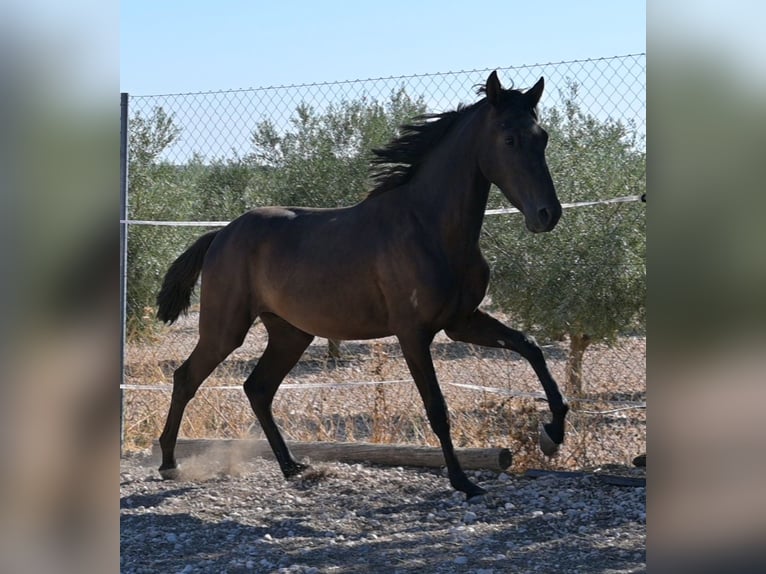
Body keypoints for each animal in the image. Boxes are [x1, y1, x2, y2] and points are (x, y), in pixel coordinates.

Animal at [158, 71, 568, 500]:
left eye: (542, 136)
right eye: (509, 139)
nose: (547, 214)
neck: (430, 228)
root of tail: (221, 233)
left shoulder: (462, 322)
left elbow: (531, 347)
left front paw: (552, 435)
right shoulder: (413, 333)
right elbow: (436, 407)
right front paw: (463, 482)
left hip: (290, 333)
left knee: (258, 388)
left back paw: (291, 465)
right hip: (225, 329)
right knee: (187, 378)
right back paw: (169, 463)